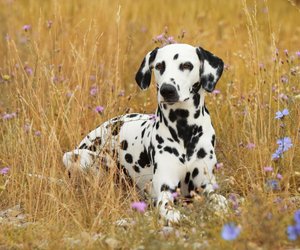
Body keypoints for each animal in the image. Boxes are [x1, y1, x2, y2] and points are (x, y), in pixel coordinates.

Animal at [63, 43, 227, 223]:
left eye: (186, 65)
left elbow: (220, 200)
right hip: (78, 156)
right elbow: (171, 211)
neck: (184, 129)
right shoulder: (164, 191)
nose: (167, 90)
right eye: (160, 66)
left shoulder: (207, 184)